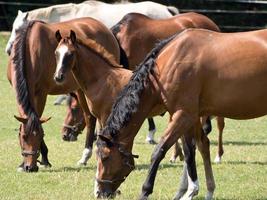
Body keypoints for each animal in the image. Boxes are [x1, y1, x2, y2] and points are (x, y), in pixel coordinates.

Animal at [7, 16, 120, 172]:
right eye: (23, 136)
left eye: (40, 136)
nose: (30, 167)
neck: (29, 47)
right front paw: (24, 163)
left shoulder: (41, 93)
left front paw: (44, 159)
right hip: (81, 89)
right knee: (90, 117)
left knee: (91, 117)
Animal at [96, 28, 267, 200]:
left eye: (105, 157)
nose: (100, 192)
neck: (169, 61)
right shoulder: (189, 117)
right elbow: (192, 150)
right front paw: (198, 190)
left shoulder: (184, 116)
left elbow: (160, 151)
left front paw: (147, 191)